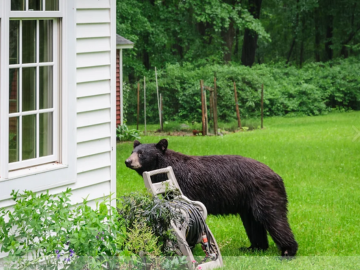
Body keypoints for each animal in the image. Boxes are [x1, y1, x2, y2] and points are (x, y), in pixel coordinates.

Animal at [125, 139, 296, 258]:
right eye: (132, 151)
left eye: (141, 154)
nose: (127, 161)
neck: (165, 170)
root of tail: (278, 176)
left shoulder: (185, 187)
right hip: (248, 203)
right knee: (253, 222)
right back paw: (255, 247)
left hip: (264, 194)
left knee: (274, 218)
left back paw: (288, 251)